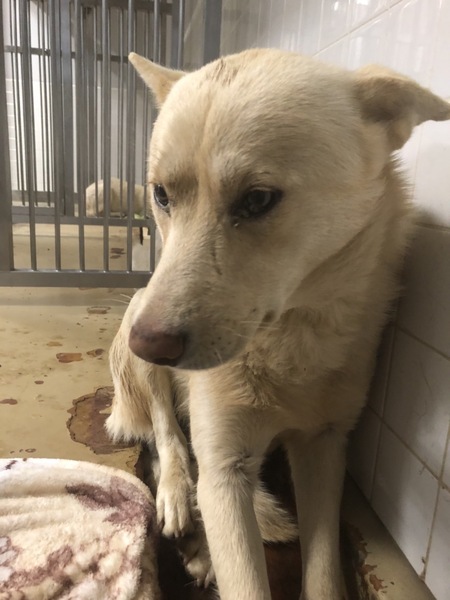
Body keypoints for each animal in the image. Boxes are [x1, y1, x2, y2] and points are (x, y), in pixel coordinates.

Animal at [107, 49, 450, 600]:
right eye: (161, 195)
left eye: (258, 199)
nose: (148, 343)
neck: (291, 337)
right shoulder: (224, 467)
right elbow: (243, 573)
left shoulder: (326, 447)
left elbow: (325, 572)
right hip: (140, 314)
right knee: (167, 436)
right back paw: (178, 499)